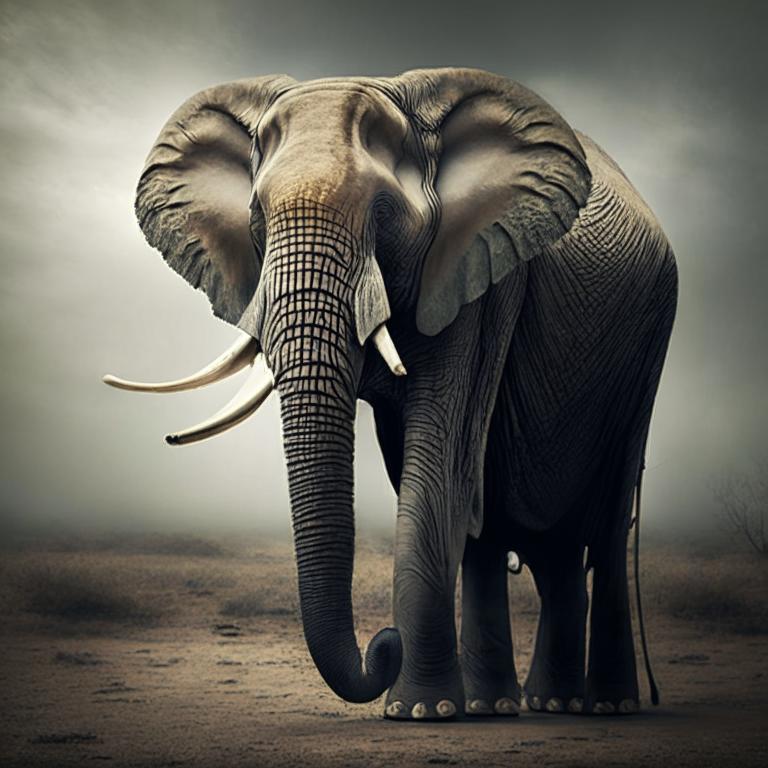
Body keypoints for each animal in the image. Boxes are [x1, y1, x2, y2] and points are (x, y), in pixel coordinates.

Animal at [104, 68, 677, 720]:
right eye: (257, 219)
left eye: (383, 214)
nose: (384, 643)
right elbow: (436, 478)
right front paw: (433, 709)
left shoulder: (478, 273)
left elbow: (439, 465)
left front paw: (419, 713)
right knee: (533, 544)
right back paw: (516, 707)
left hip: (647, 347)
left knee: (603, 531)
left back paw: (603, 707)